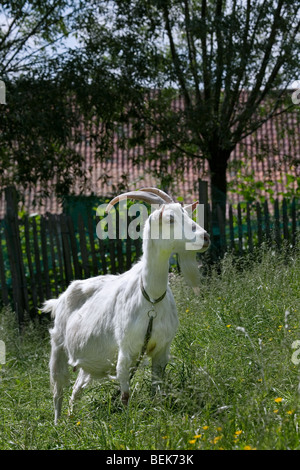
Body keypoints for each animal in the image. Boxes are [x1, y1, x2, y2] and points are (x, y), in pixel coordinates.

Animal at [42, 187, 210, 422]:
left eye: (187, 213)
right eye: (170, 218)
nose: (205, 237)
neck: (151, 299)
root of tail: (60, 299)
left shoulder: (162, 349)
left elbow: (158, 389)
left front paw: (159, 414)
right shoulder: (126, 350)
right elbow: (125, 395)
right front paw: (127, 423)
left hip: (88, 363)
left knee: (76, 390)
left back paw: (72, 418)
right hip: (57, 347)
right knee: (58, 391)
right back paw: (59, 424)